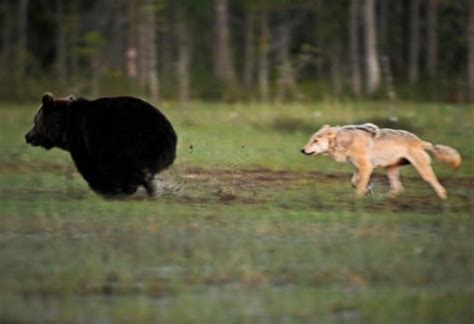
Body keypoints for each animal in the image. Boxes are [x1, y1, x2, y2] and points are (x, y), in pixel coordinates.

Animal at [24, 92, 176, 196]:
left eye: (35, 121)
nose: (27, 136)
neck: (64, 127)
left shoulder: (84, 139)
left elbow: (90, 167)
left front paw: (106, 189)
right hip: (156, 150)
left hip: (129, 141)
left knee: (126, 167)